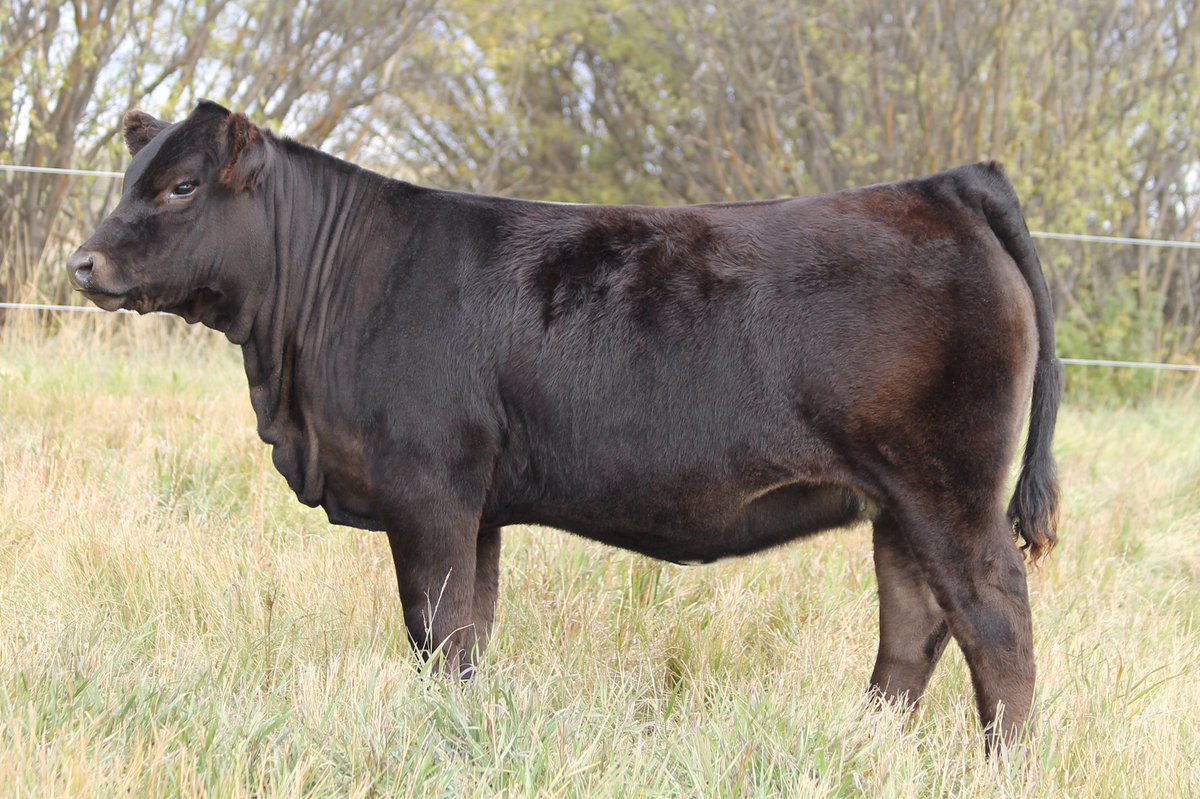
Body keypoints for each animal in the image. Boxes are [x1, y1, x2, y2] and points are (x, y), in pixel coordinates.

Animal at [68, 100, 1061, 751]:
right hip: (898, 503)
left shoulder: (428, 488)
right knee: (914, 623)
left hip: (949, 490)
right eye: (130, 179)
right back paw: (867, 744)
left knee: (996, 623)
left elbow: (436, 630)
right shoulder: (479, 509)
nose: (83, 262)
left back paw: (998, 765)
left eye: (182, 187)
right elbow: (468, 632)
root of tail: (944, 185)